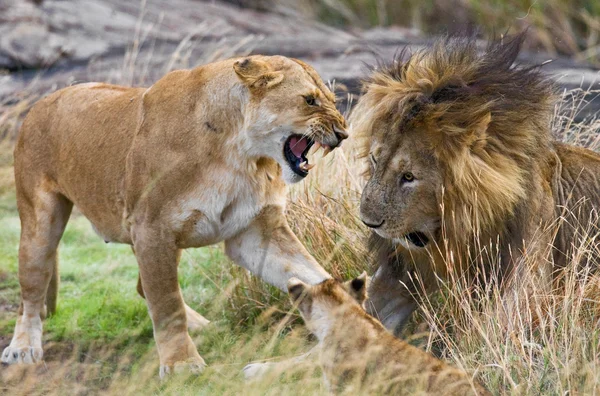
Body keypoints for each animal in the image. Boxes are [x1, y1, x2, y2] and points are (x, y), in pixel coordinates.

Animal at [2, 55, 346, 374]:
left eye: (331, 100)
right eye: (310, 100)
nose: (343, 133)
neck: (239, 154)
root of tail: (41, 102)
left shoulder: (256, 232)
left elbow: (312, 273)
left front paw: (344, 312)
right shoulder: (151, 230)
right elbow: (167, 305)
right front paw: (181, 363)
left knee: (142, 287)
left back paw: (204, 326)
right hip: (40, 224)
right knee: (31, 291)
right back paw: (22, 347)